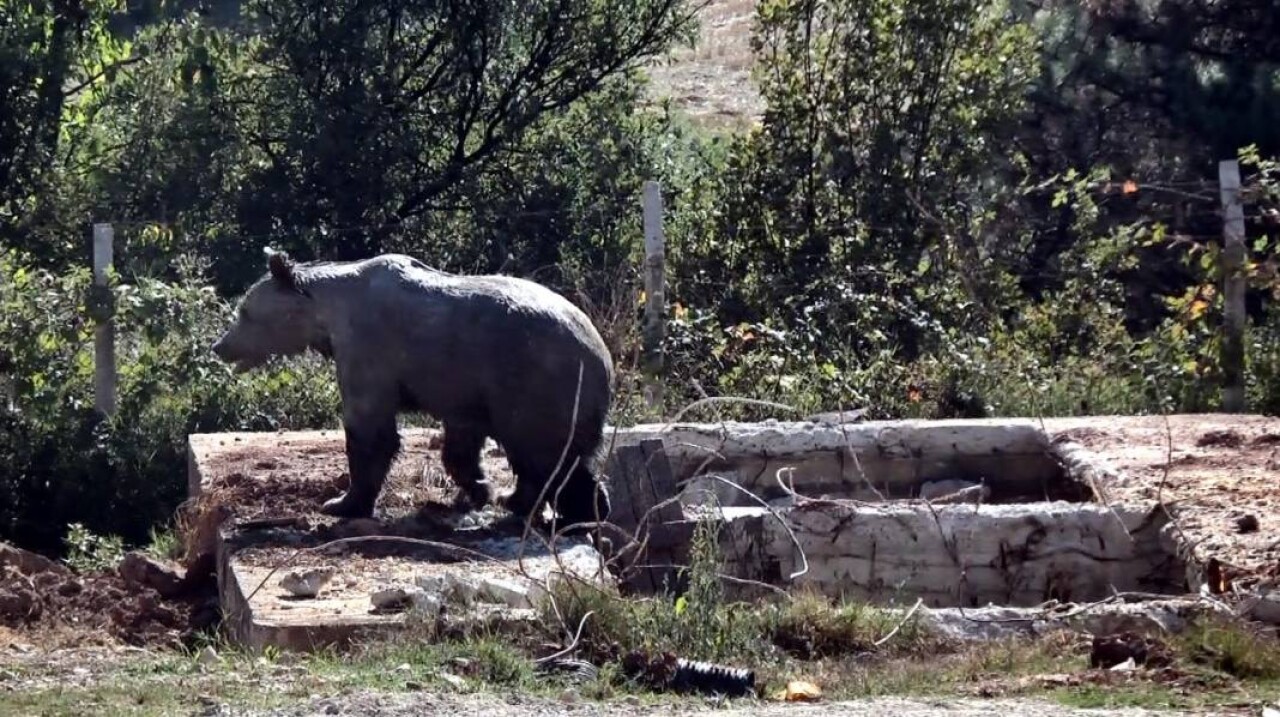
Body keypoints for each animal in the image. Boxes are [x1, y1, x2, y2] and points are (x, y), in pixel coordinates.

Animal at [212, 250, 616, 527]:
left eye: (244, 312)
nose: (220, 346)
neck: (329, 315)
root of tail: (604, 359)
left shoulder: (369, 347)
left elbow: (370, 430)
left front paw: (341, 502)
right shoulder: (462, 384)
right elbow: (460, 441)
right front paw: (479, 488)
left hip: (539, 381)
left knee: (550, 454)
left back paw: (579, 512)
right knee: (538, 458)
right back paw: (518, 499)